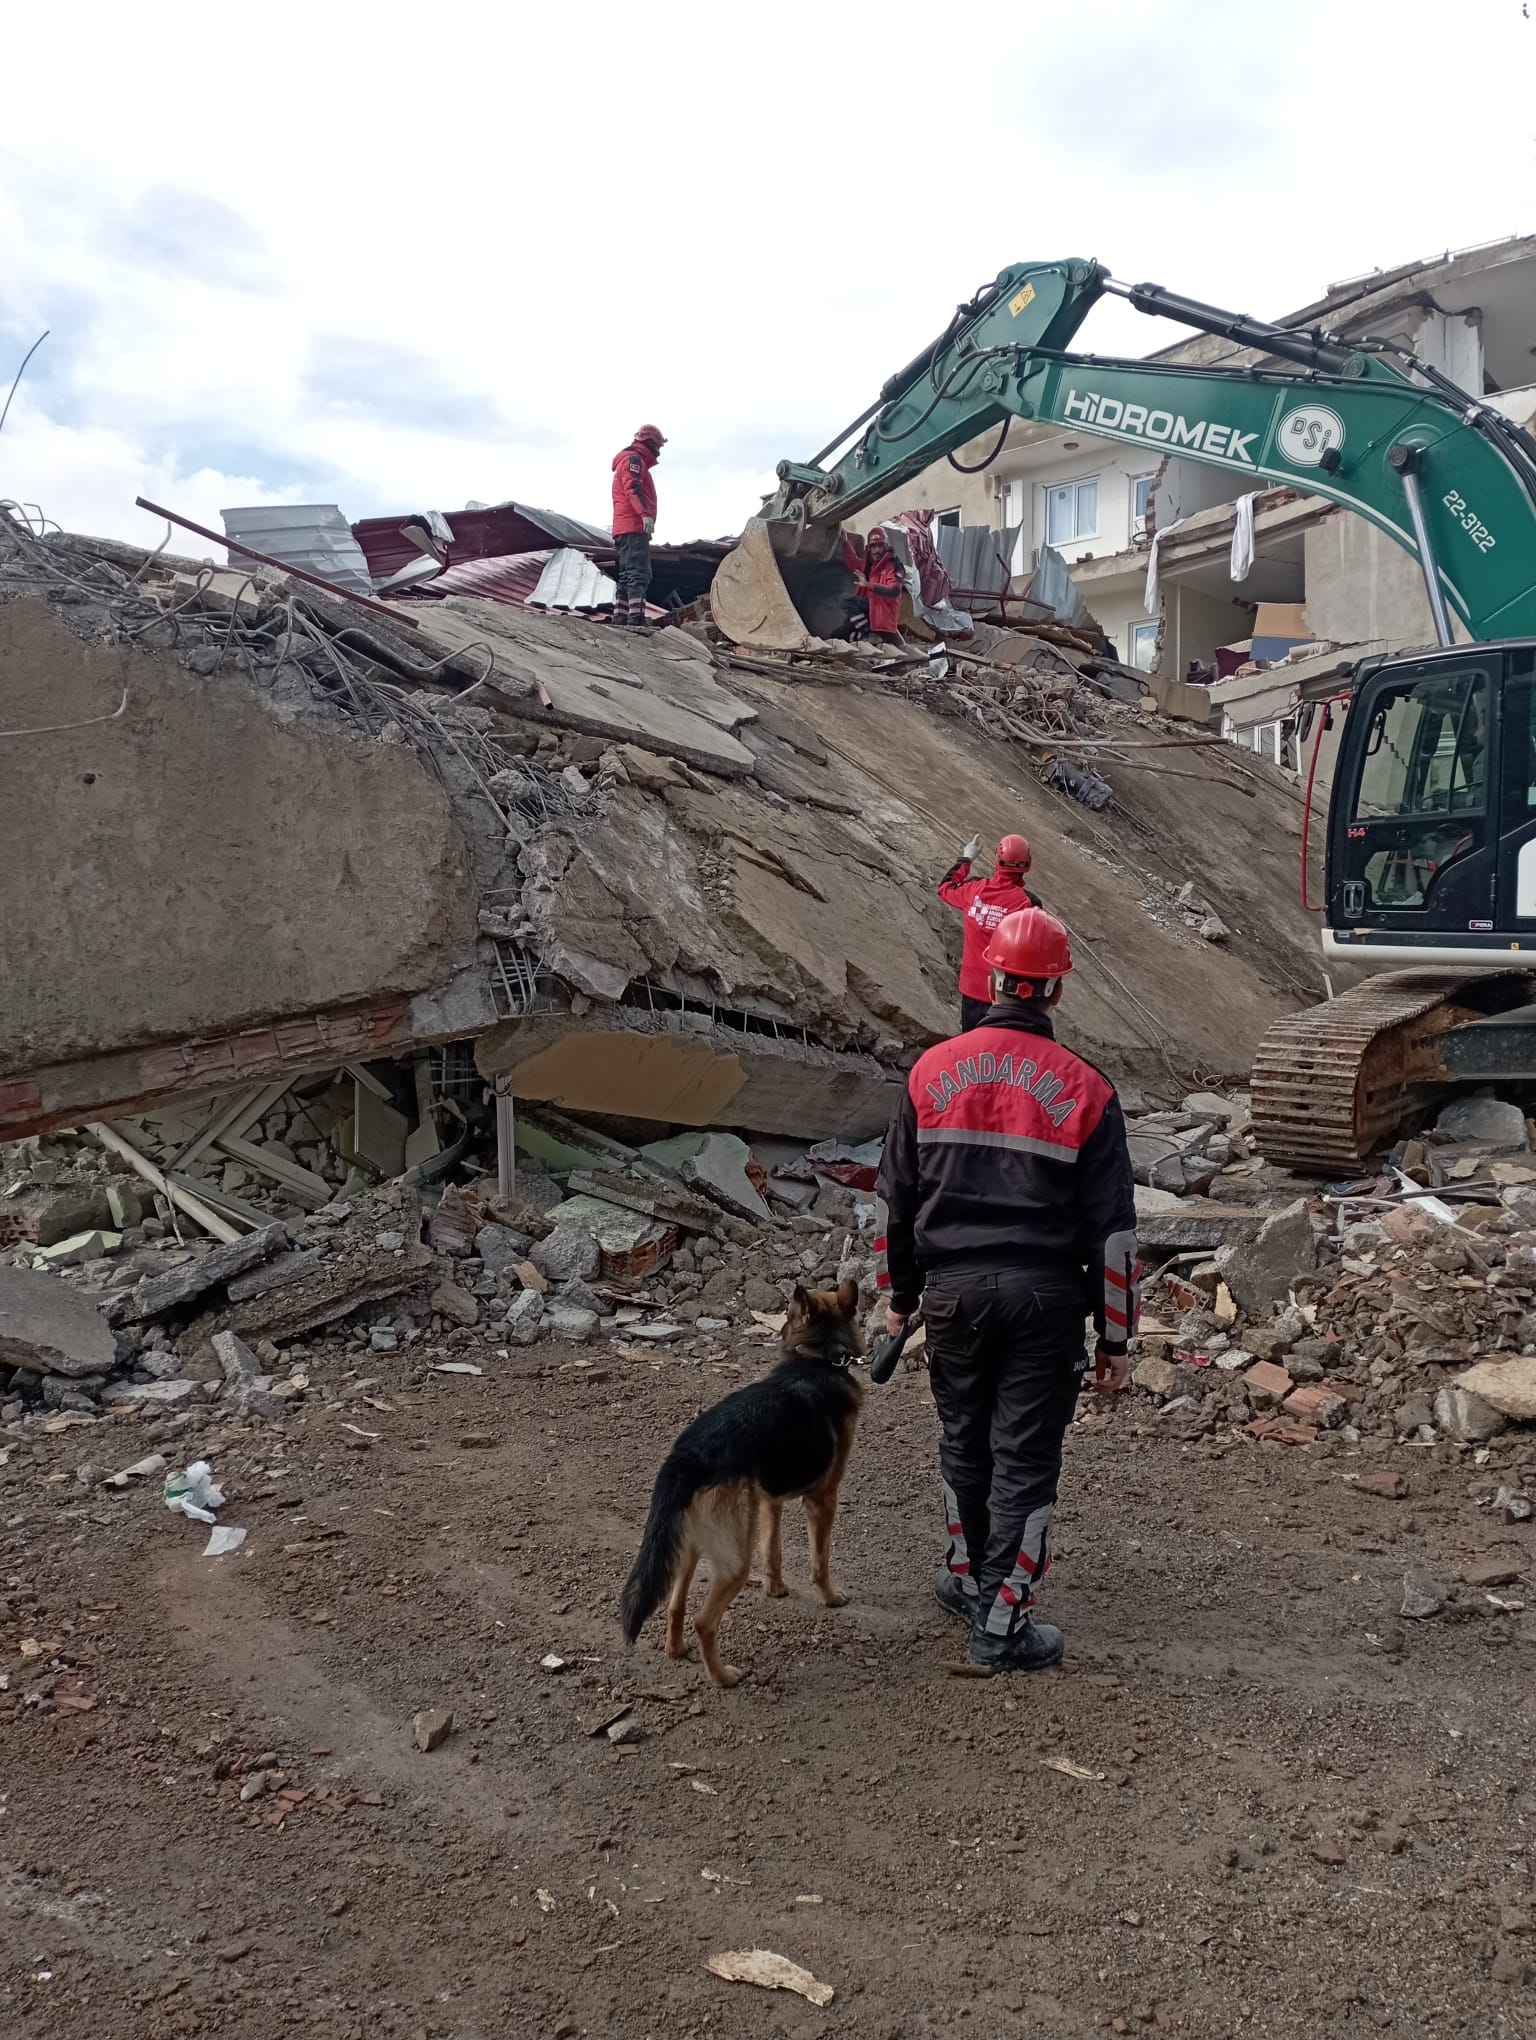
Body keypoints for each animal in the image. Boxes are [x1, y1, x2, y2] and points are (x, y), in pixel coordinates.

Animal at [620, 1281, 864, 1680]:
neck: (818, 1358)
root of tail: (687, 1456)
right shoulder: (823, 1500)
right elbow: (820, 1562)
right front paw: (830, 1598)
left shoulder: (770, 1501)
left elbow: (773, 1551)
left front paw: (776, 1589)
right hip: (734, 1558)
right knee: (705, 1622)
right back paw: (724, 1678)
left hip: (689, 1547)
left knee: (675, 1604)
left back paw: (677, 1650)